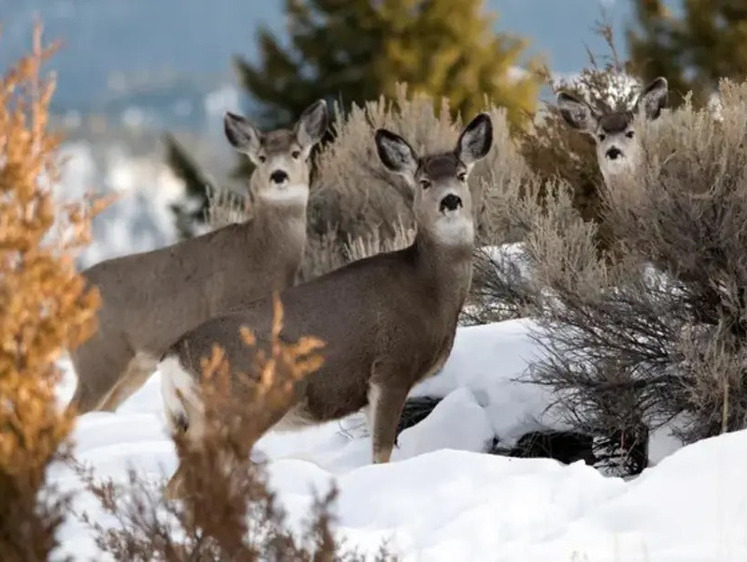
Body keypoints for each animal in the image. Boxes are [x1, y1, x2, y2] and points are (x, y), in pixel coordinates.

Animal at [68, 99, 330, 416]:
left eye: (296, 153)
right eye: (262, 157)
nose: (278, 175)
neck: (259, 253)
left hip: (133, 368)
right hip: (98, 356)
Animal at [161, 111, 494, 496]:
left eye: (462, 174)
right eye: (424, 182)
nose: (451, 201)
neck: (428, 289)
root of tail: (173, 360)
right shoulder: (391, 367)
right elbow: (381, 453)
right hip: (241, 405)